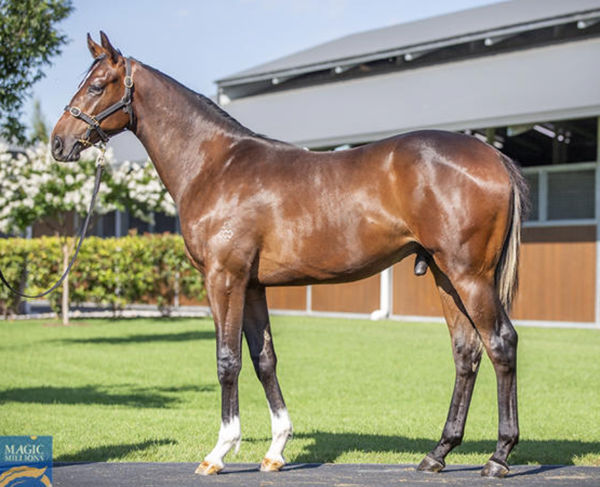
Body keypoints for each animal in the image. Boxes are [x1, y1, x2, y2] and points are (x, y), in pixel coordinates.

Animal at [54, 34, 528, 480]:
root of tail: (494, 156)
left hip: (470, 276)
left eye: (96, 85)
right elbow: (264, 360)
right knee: (466, 353)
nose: (59, 142)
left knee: (501, 343)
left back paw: (498, 457)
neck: (216, 166)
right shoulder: (251, 285)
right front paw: (276, 451)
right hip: (446, 277)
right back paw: (438, 453)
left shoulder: (223, 278)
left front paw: (219, 452)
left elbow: (228, 360)